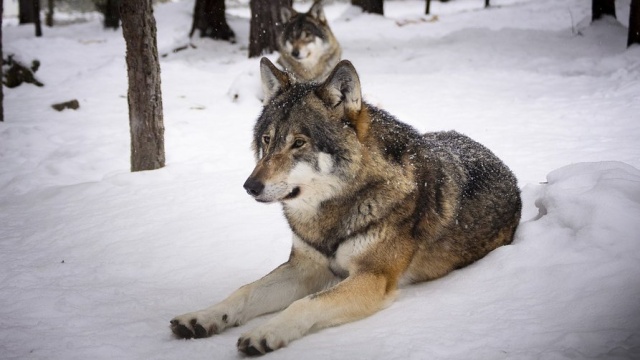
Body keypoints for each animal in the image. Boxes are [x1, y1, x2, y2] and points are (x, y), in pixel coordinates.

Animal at [170, 57, 520, 356]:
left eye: (299, 143)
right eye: (267, 140)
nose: (250, 186)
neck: (334, 209)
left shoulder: (373, 278)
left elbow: (304, 304)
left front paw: (265, 332)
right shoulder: (304, 267)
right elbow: (245, 290)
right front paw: (203, 317)